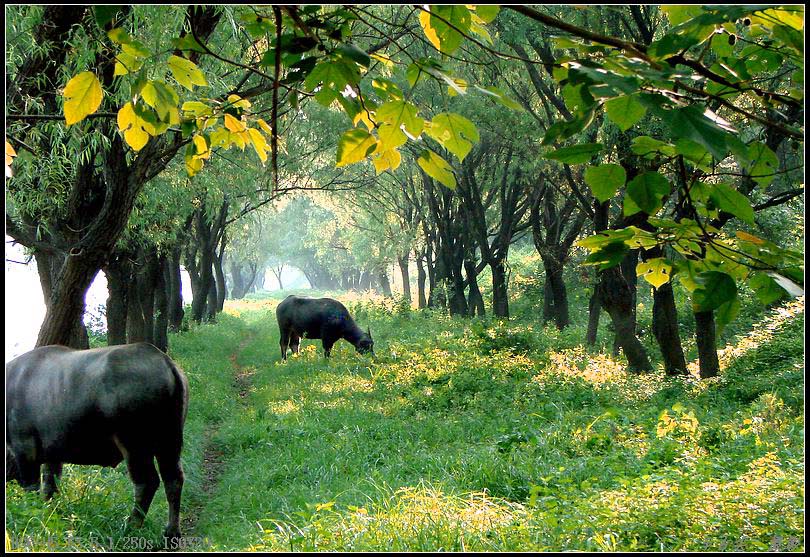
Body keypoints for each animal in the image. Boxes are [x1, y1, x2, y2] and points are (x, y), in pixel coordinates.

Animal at [5, 340, 189, 540]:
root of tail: (165, 362)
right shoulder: (53, 456)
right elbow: (50, 487)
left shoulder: (25, 450)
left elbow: (32, 488)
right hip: (170, 443)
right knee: (173, 479)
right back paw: (171, 531)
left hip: (135, 445)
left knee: (147, 482)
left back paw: (130, 526)